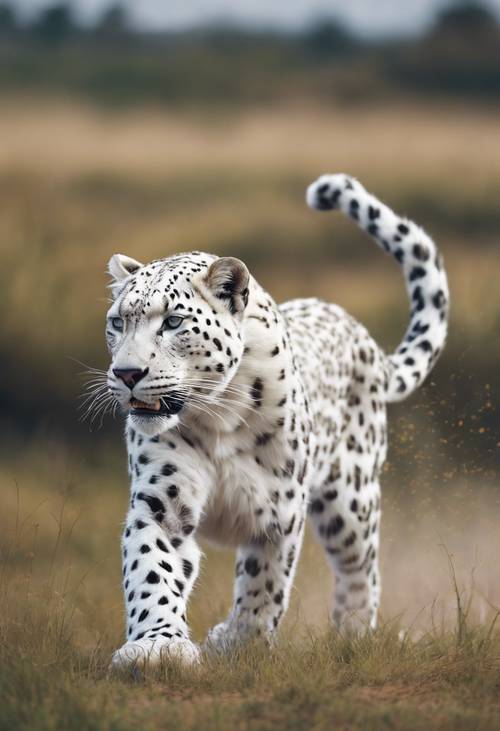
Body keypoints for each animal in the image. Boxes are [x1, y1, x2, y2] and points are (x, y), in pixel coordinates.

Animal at [105, 173, 450, 668]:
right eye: (118, 322)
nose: (127, 373)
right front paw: (156, 647)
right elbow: (153, 567)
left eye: (173, 322)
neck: (216, 416)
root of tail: (359, 333)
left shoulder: (280, 507)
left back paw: (354, 636)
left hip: (352, 500)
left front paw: (240, 642)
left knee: (360, 568)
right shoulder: (161, 500)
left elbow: (265, 580)